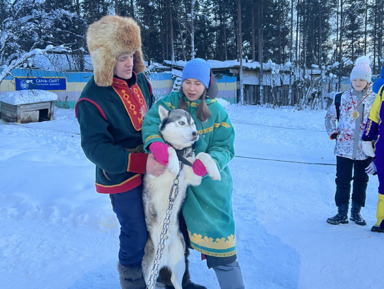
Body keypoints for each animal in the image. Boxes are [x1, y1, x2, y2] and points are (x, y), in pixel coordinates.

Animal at [142, 104, 220, 288]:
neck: (181, 154)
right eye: (181, 122)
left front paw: (214, 170)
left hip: (179, 267)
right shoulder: (154, 173)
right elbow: (168, 148)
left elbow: (203, 156)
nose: (195, 134)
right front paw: (172, 164)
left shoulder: (194, 177)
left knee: (176, 282)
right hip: (150, 273)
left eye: (193, 123)